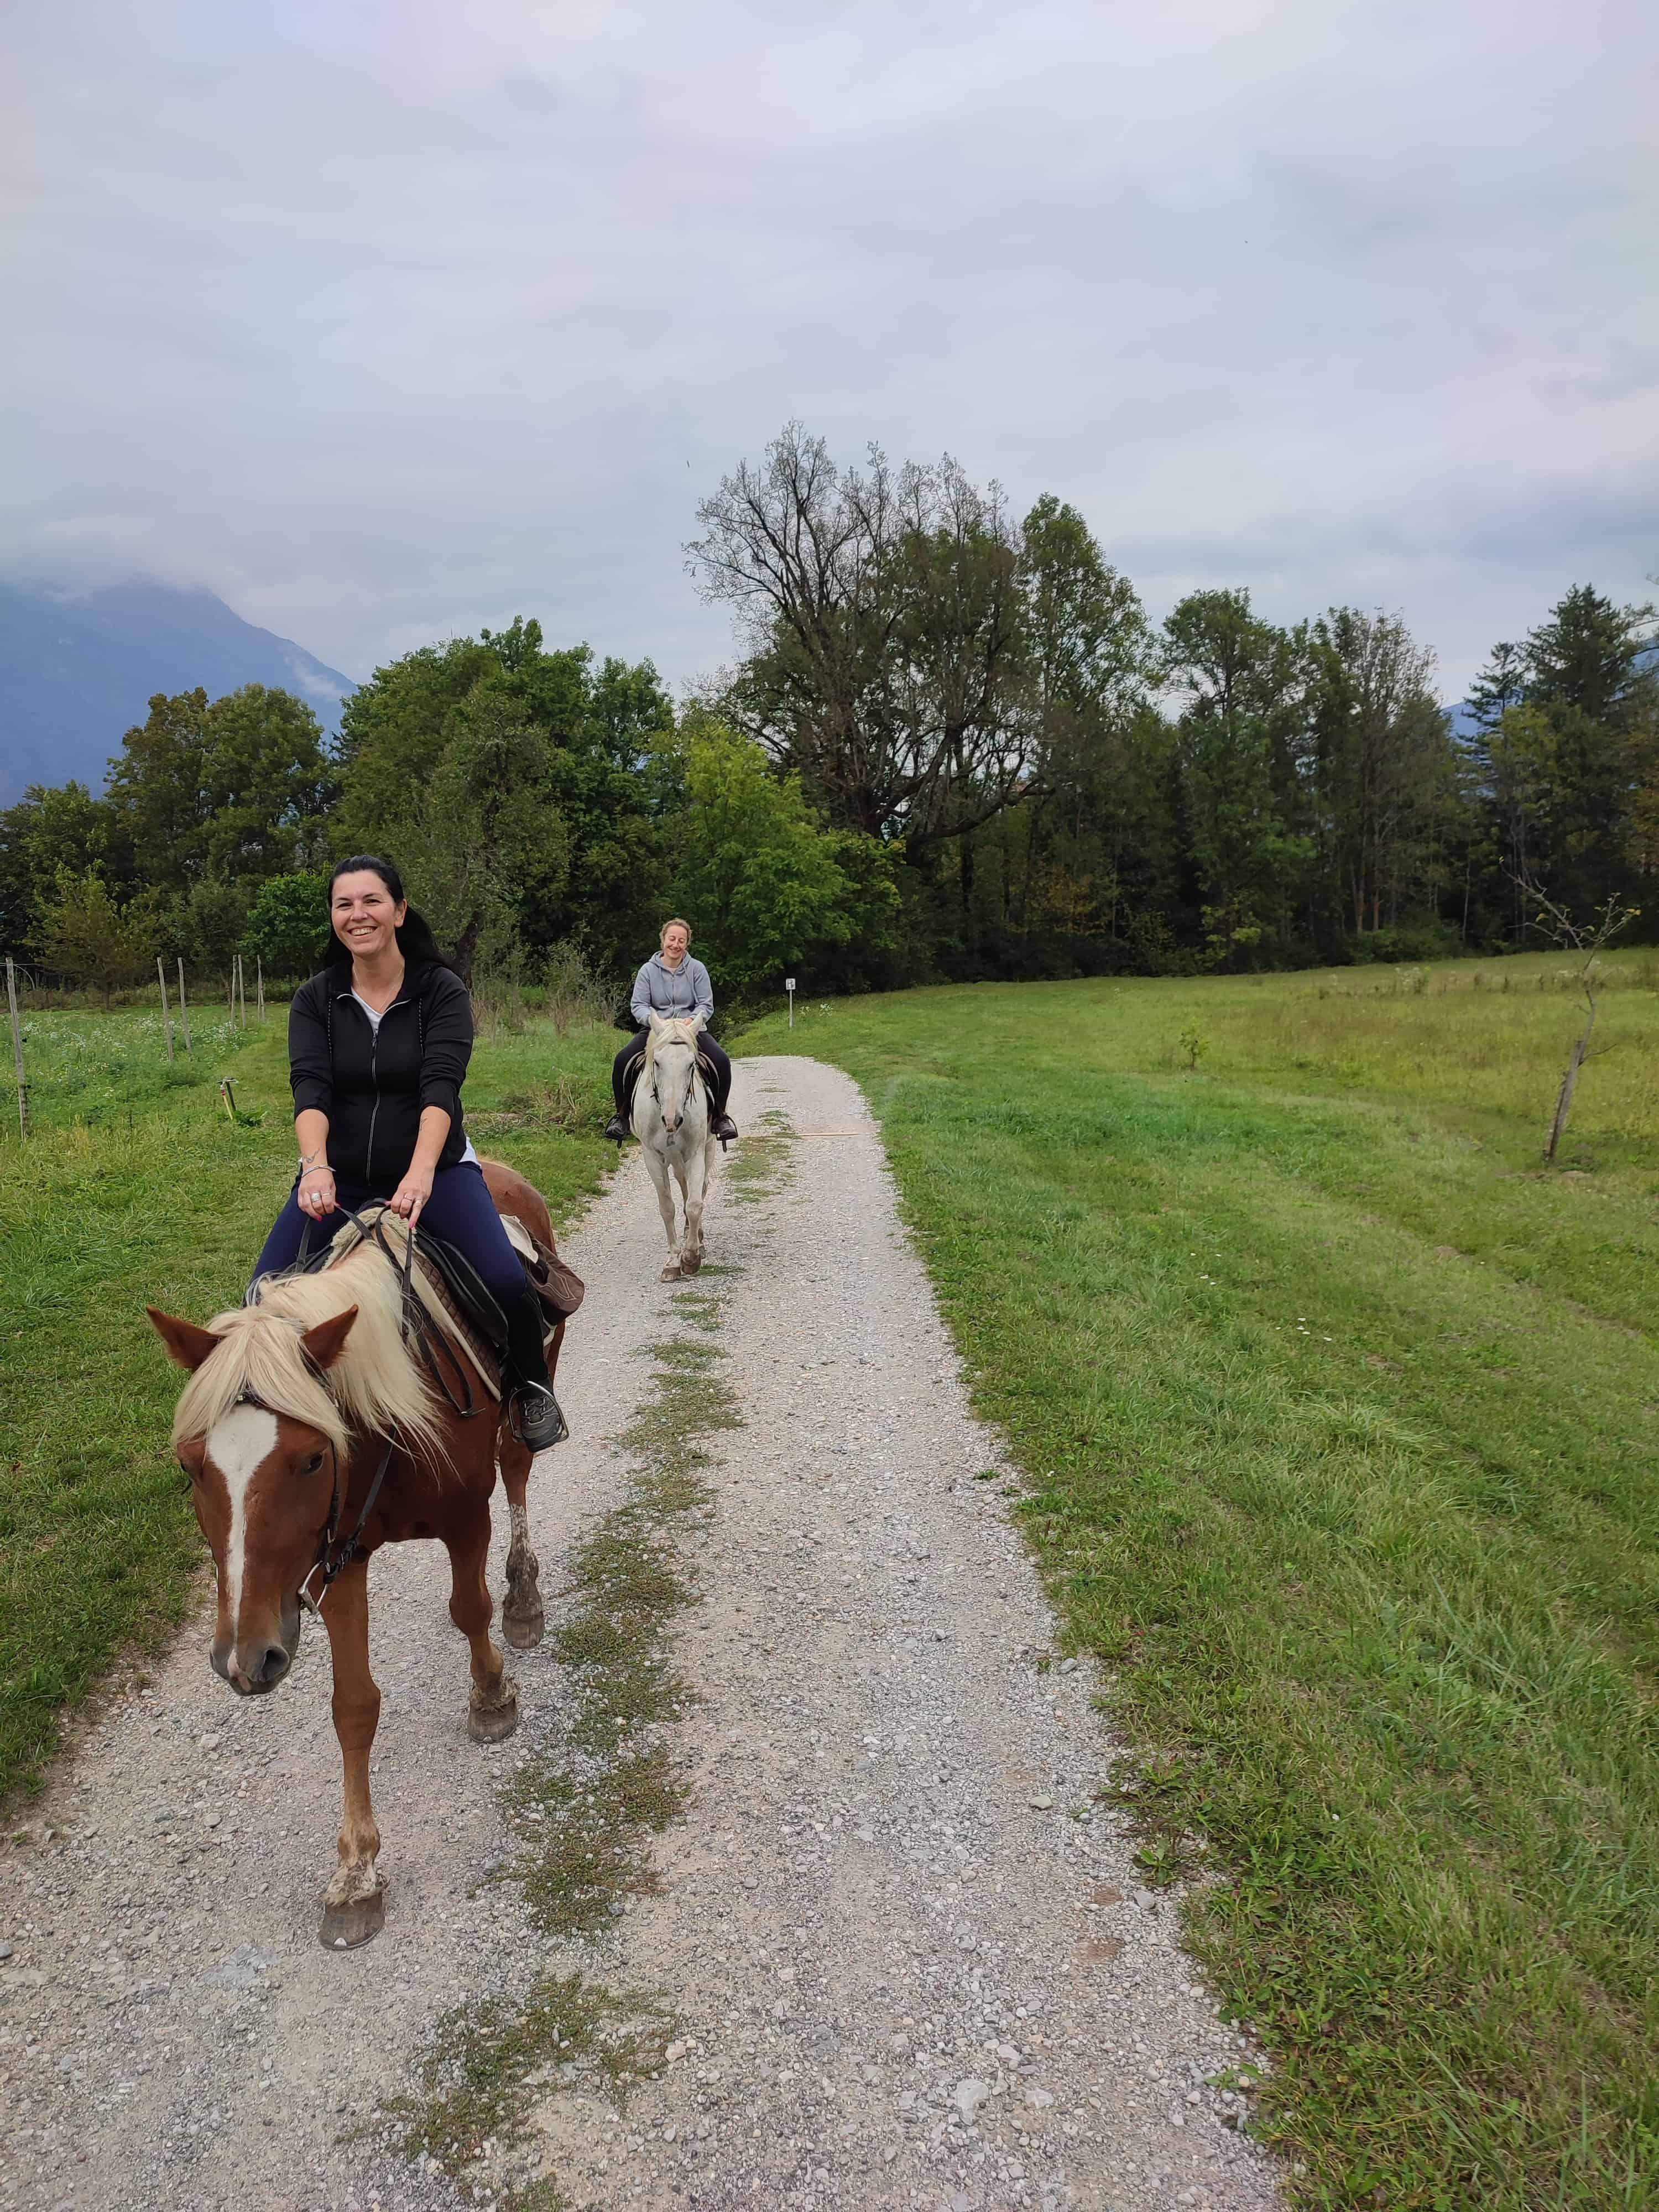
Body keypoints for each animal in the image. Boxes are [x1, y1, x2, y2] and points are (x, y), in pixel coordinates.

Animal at [145, 1159, 560, 1955]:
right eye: (190, 1465)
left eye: (311, 1458)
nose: (247, 1657)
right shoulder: (340, 1554)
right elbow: (353, 1706)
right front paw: (356, 1874)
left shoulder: (465, 1518)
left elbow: (470, 1608)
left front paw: (492, 1694)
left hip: (525, 1408)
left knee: (521, 1470)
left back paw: (523, 1598)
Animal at [633, 1009, 717, 1283]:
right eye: (657, 1063)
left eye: (691, 1064)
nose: (672, 1120)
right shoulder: (652, 1157)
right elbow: (667, 1207)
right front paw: (672, 1262)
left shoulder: (696, 1153)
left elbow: (694, 1204)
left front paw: (691, 1257)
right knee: (683, 1187)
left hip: (706, 1149)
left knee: (698, 1190)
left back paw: (697, 1239)